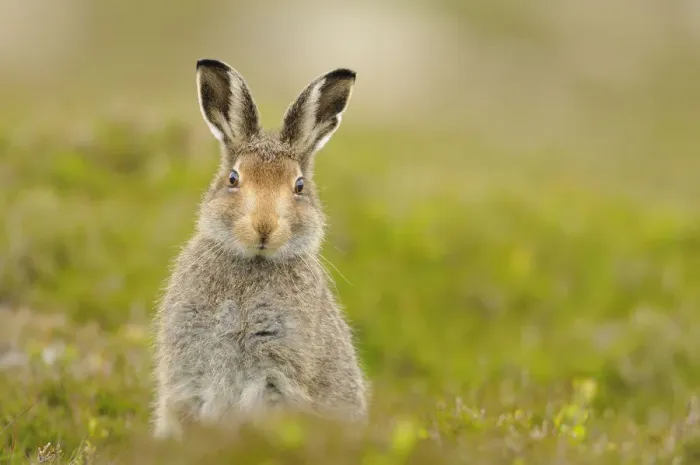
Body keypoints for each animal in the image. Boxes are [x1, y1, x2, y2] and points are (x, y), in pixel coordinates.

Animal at [151, 59, 369, 439]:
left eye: (299, 186)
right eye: (233, 179)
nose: (263, 227)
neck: (252, 264)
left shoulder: (275, 375)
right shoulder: (188, 372)